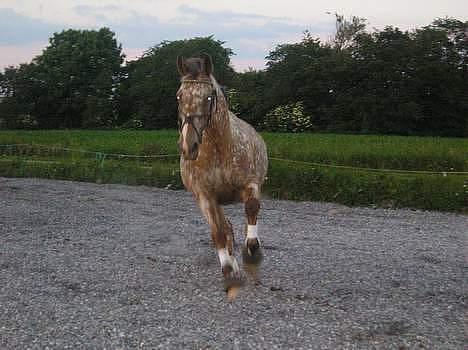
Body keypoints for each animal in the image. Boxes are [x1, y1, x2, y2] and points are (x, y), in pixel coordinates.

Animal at [177, 52, 268, 292]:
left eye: (209, 97)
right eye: (179, 97)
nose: (189, 146)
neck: (218, 151)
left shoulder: (250, 184)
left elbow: (251, 209)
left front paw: (253, 251)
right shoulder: (205, 196)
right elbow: (219, 233)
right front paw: (228, 270)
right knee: (225, 229)